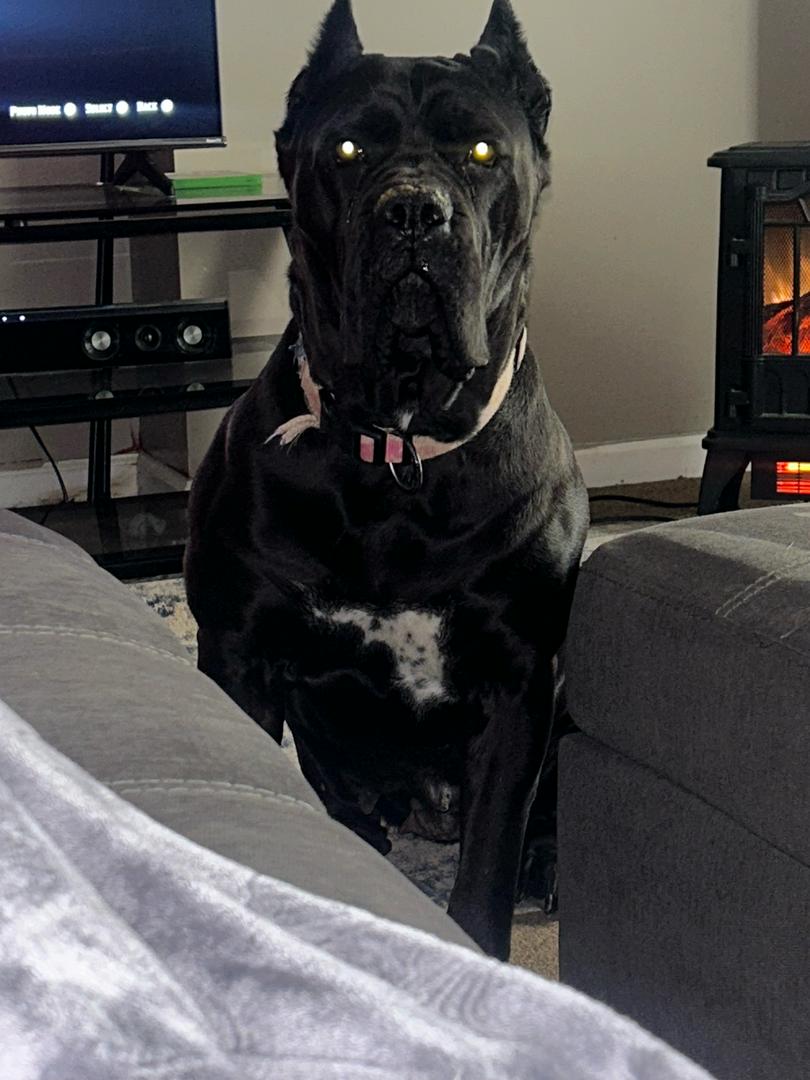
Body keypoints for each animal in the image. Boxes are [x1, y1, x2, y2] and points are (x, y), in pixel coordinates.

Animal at [185, 0, 589, 959]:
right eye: (346, 150)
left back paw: (548, 868)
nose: (413, 213)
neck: (399, 454)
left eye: (481, 152)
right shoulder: (237, 652)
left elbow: (486, 865)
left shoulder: (520, 684)